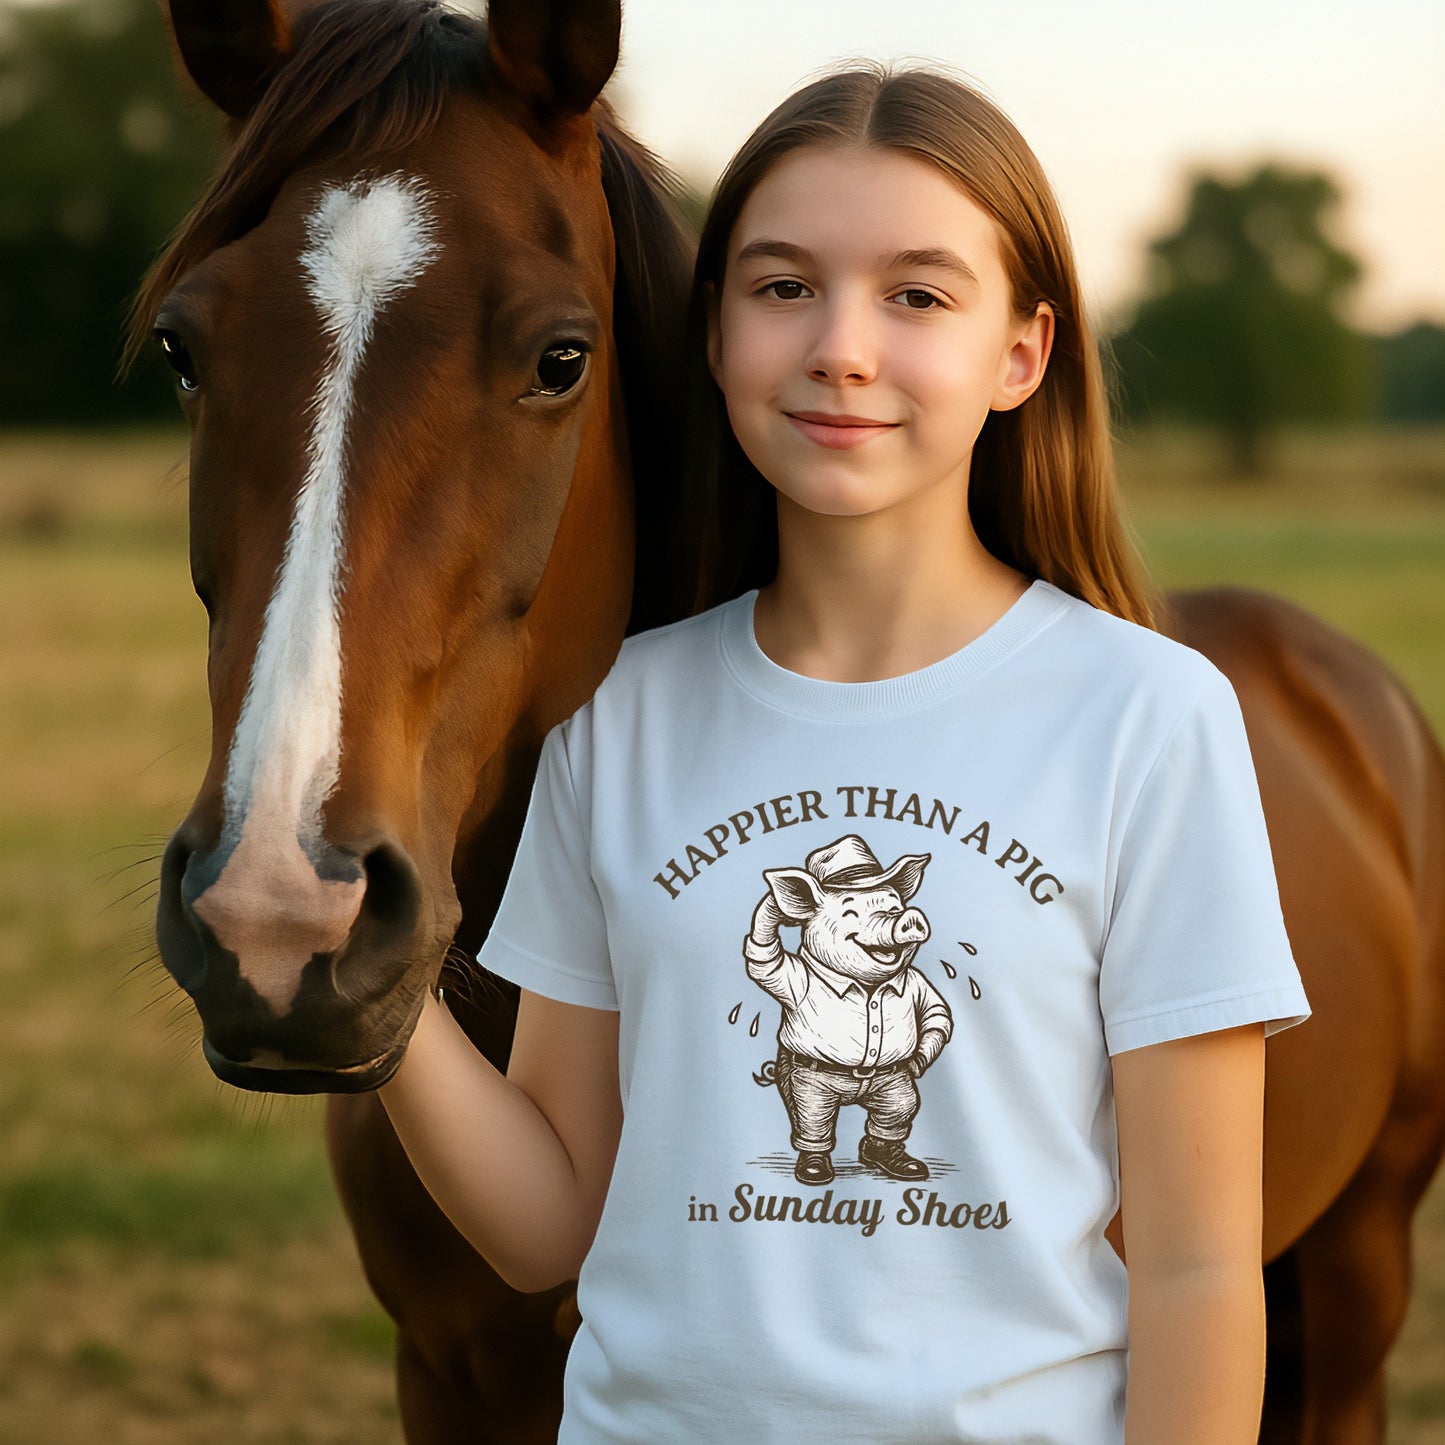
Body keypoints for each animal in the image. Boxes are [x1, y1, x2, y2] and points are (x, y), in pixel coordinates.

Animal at [743, 834, 953, 1187]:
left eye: (894, 907)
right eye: (851, 912)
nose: (910, 918)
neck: (866, 986)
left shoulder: (917, 984)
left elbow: (937, 1013)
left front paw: (917, 1063)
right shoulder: (793, 980)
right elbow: (766, 964)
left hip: (891, 1088)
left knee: (897, 1111)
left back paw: (902, 1166)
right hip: (810, 1087)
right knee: (814, 1122)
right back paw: (815, 1171)